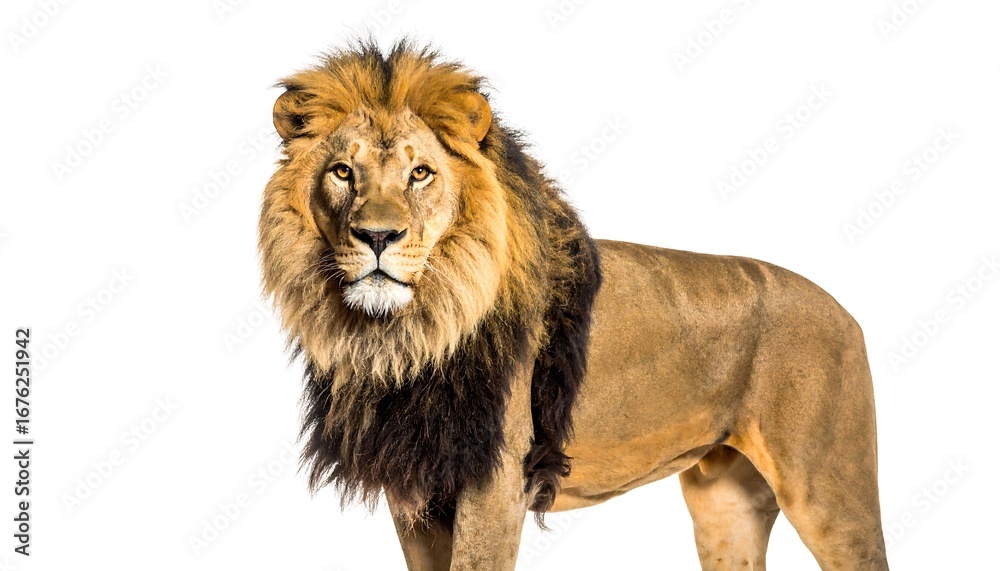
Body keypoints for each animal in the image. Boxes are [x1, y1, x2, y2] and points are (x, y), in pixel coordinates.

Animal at [258, 40, 889, 570]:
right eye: (343, 172)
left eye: (421, 173)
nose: (378, 236)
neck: (406, 332)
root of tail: (846, 311)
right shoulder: (415, 491)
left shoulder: (496, 485)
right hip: (726, 503)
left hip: (830, 490)